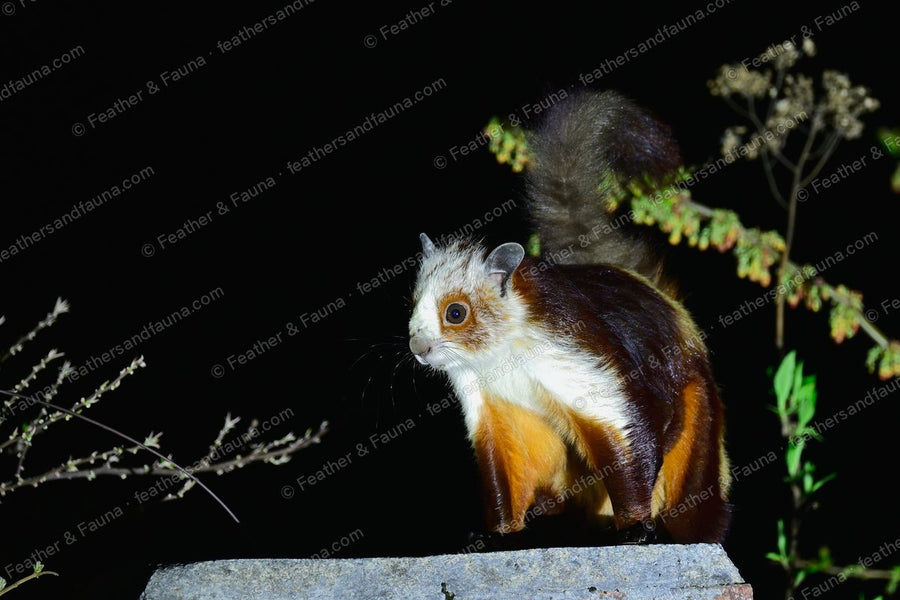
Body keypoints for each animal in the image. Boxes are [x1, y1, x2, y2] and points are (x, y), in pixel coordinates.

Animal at [409, 91, 731, 544]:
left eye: (456, 312)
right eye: (413, 303)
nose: (417, 347)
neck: (501, 355)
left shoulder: (579, 362)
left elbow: (629, 441)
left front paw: (635, 526)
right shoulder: (491, 408)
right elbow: (503, 472)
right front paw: (498, 535)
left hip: (699, 418)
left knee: (697, 505)